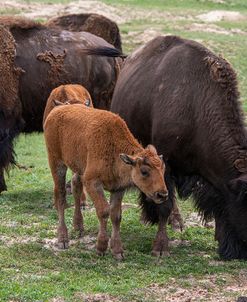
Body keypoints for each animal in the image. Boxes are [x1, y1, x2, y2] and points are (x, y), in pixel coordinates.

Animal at [44, 104, 168, 260]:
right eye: (144, 171)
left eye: (163, 170)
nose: (162, 195)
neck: (114, 147)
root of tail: (56, 110)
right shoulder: (92, 182)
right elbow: (103, 211)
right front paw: (101, 248)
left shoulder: (118, 188)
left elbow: (116, 215)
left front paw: (118, 251)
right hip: (56, 163)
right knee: (60, 196)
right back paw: (63, 239)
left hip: (78, 167)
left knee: (76, 187)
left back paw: (78, 227)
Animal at [83, 36, 247, 260]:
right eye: (246, 199)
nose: (241, 252)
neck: (196, 105)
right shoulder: (164, 162)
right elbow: (164, 205)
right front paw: (160, 247)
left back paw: (176, 222)